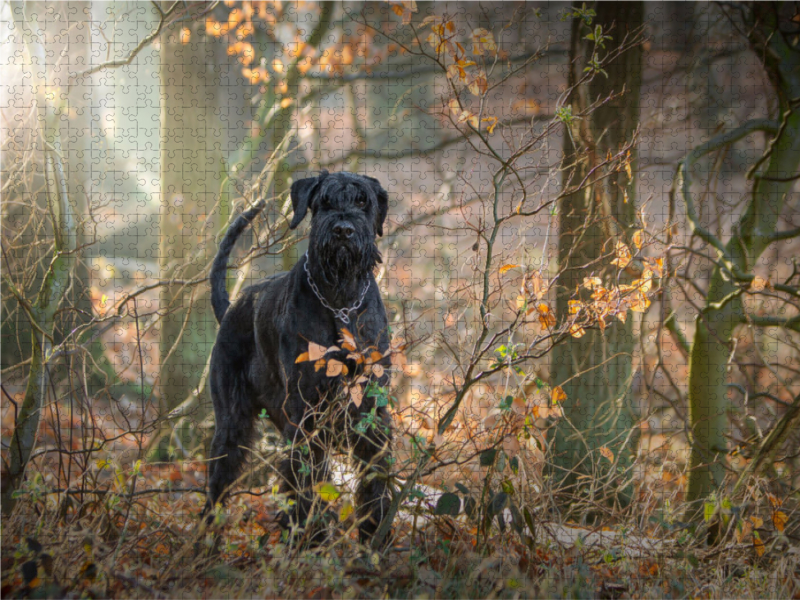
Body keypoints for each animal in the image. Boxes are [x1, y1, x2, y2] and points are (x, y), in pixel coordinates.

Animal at [206, 170, 394, 544]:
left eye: (363, 200)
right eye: (324, 200)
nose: (343, 230)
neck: (341, 301)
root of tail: (231, 308)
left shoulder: (372, 407)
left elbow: (373, 473)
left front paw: (375, 534)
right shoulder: (306, 411)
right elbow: (305, 478)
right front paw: (310, 536)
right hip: (232, 420)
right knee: (218, 481)